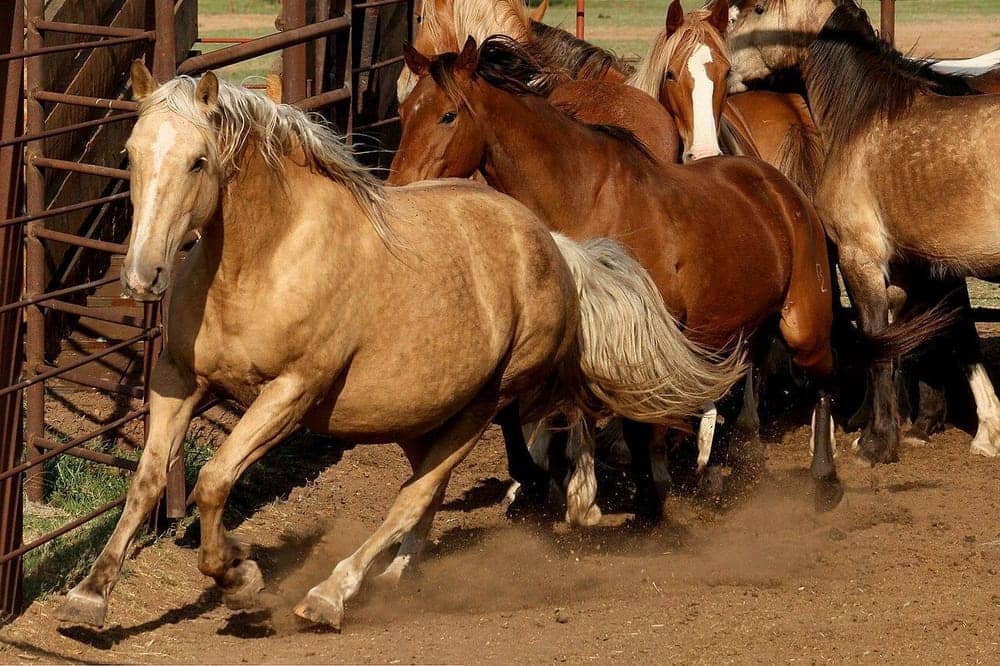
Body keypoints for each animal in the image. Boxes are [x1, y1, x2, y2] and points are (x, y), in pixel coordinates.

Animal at [56, 60, 747, 631]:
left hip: (483, 404)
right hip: (425, 411)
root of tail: (552, 245)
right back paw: (393, 577)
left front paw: (240, 576)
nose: (142, 275)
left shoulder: (291, 392)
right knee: (425, 497)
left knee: (411, 498)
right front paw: (89, 596)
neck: (262, 261)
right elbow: (147, 480)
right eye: (130, 153)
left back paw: (331, 595)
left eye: (199, 161)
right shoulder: (178, 378)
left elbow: (214, 481)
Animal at [390, 37, 853, 520]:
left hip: (802, 324)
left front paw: (636, 502)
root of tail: (782, 189)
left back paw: (822, 479)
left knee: (822, 379)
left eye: (448, 114)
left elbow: (632, 423)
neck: (583, 201)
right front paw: (535, 487)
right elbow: (518, 409)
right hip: (739, 327)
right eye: (404, 113)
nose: (399, 187)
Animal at [728, 0, 1000, 463]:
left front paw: (877, 442)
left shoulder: (861, 258)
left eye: (758, 9)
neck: (863, 120)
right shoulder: (912, 267)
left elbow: (878, 340)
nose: (724, 67)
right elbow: (915, 340)